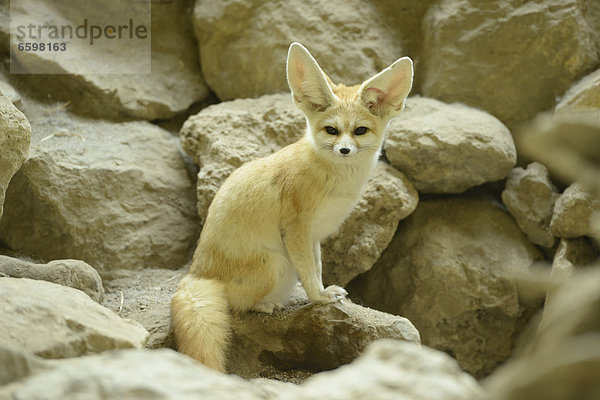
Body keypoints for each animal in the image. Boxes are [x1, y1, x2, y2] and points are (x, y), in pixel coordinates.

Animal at [170, 42, 412, 370]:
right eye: (332, 131)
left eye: (360, 131)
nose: (344, 150)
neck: (337, 180)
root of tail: (196, 272)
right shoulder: (296, 227)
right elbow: (309, 271)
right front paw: (320, 298)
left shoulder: (314, 236)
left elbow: (317, 266)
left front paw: (323, 291)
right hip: (276, 263)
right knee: (237, 305)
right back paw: (265, 304)